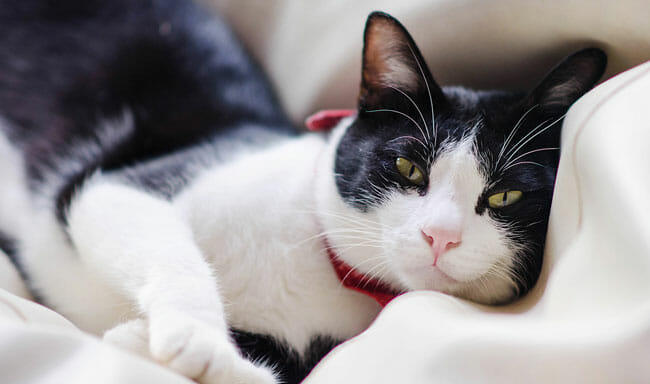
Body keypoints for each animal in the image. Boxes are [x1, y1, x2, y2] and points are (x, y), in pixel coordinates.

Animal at [0, 1, 604, 382]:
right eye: (407, 167)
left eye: (504, 197)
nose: (441, 237)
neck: (320, 269)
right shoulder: (124, 184)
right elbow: (169, 251)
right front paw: (198, 339)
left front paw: (147, 343)